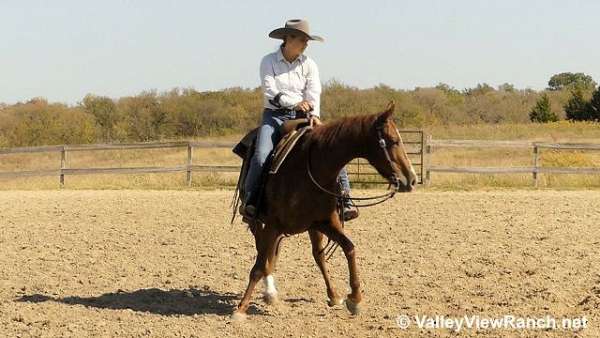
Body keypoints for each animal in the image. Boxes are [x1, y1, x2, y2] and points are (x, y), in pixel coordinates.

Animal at [232, 103, 414, 320]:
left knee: (313, 255)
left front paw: (354, 299)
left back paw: (330, 295)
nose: (411, 179)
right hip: (258, 222)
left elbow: (348, 248)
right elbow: (258, 266)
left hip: (307, 228)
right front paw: (241, 308)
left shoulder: (324, 222)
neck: (310, 169)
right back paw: (269, 293)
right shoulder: (273, 224)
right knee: (264, 253)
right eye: (393, 141)